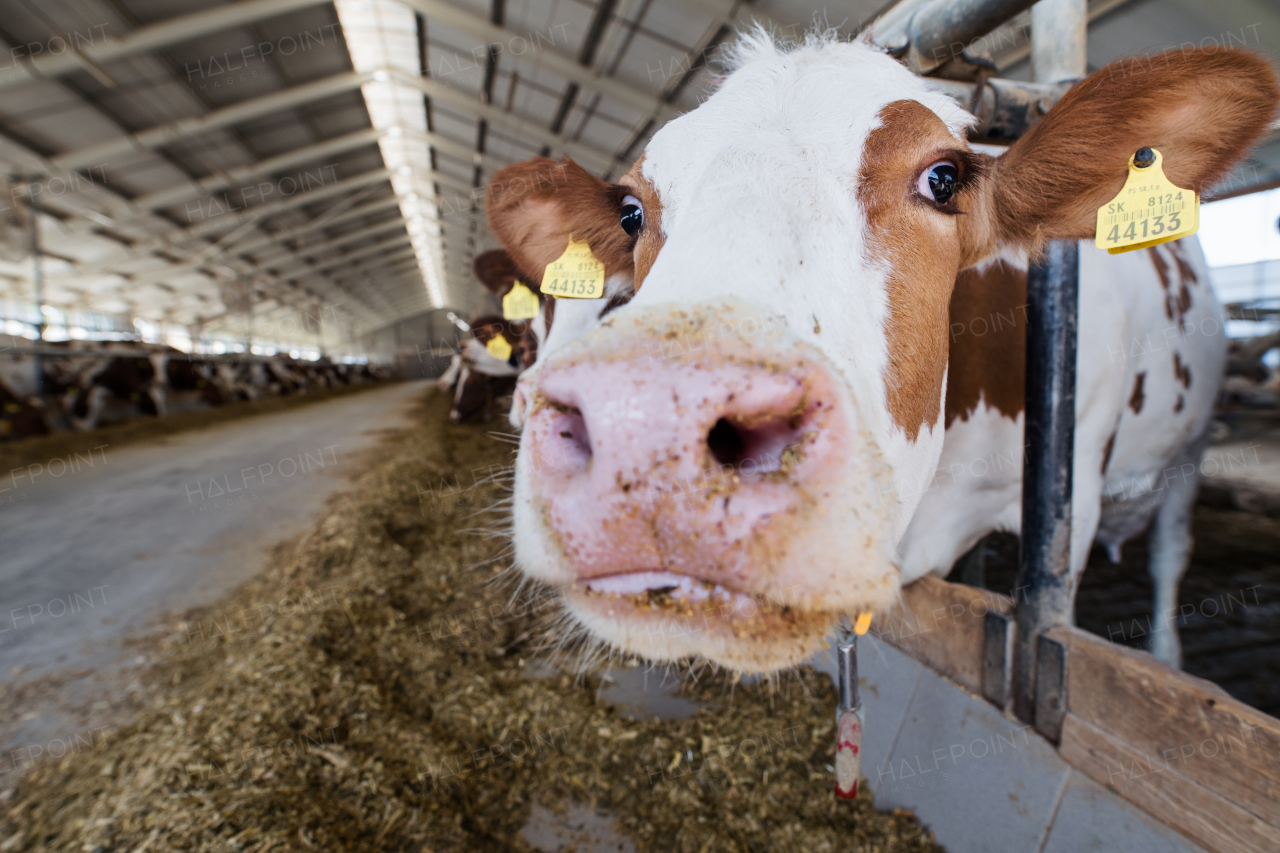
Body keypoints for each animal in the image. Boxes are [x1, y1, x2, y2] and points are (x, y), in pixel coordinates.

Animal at [476, 36, 1274, 676]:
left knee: (1171, 551)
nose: (649, 430)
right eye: (631, 212)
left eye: (943, 178)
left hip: (1187, 450)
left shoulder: (1066, 510)